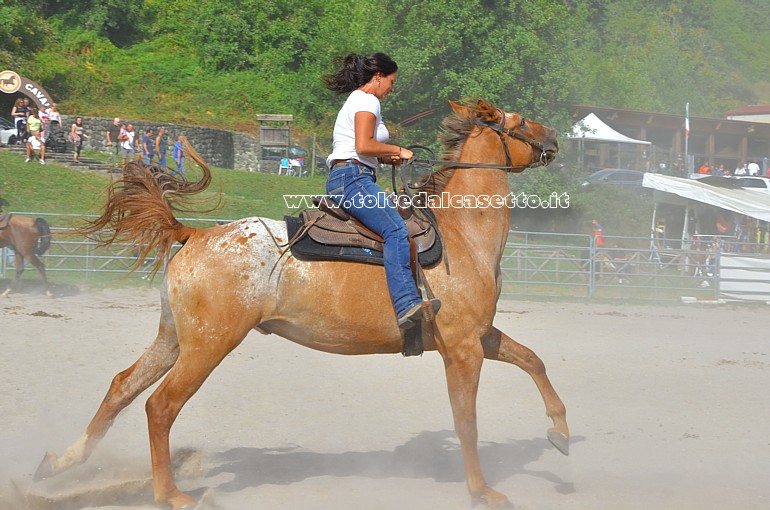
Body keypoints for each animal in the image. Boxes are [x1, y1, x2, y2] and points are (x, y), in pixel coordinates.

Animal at [36, 100, 564, 510]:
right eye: (519, 120)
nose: (555, 137)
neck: (462, 236)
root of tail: (196, 234)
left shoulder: (479, 336)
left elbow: (533, 360)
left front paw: (560, 431)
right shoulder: (462, 349)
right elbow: (466, 421)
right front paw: (483, 490)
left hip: (173, 339)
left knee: (122, 388)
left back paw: (62, 462)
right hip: (208, 346)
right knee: (160, 406)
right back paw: (170, 494)